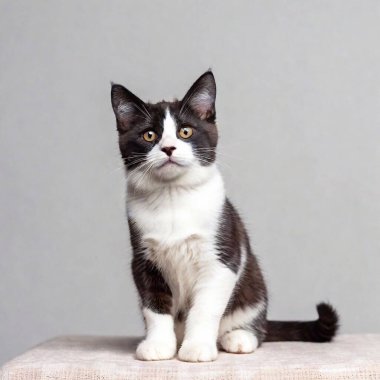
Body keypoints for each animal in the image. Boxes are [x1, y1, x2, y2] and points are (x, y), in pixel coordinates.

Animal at [110, 71, 338, 362]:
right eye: (149, 135)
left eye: (185, 131)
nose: (169, 148)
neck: (172, 196)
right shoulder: (143, 260)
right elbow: (154, 306)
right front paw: (158, 345)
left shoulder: (222, 257)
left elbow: (204, 308)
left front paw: (197, 348)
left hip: (253, 286)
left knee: (254, 324)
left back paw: (239, 337)